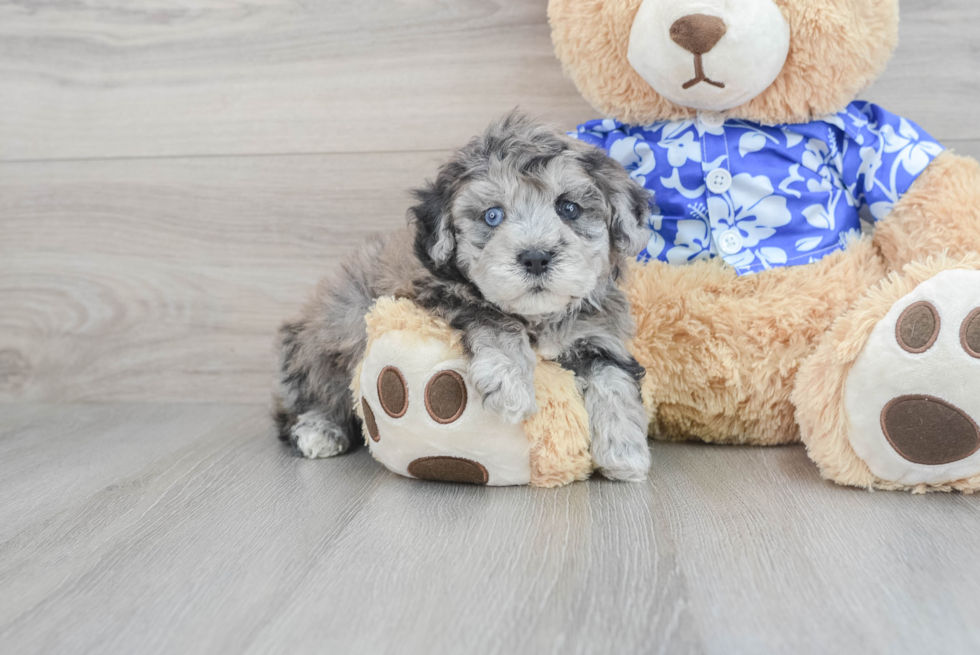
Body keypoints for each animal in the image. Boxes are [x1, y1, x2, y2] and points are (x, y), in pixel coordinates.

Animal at [274, 113, 652, 482]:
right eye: (493, 215)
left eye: (569, 209)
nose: (536, 257)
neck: (536, 318)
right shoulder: (431, 293)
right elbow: (491, 315)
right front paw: (510, 382)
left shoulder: (598, 335)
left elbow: (614, 379)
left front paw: (625, 451)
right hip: (335, 331)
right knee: (313, 391)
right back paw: (319, 430)